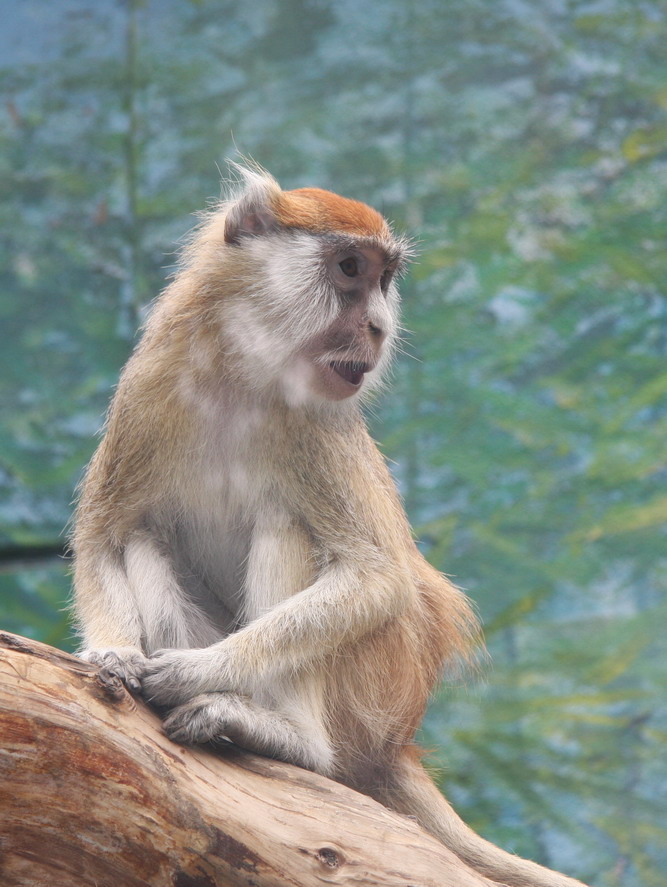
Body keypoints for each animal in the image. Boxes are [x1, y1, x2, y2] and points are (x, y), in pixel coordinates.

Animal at [70, 165, 588, 887]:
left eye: (384, 279)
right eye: (349, 269)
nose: (376, 326)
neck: (239, 372)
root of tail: (396, 739)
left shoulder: (320, 424)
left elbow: (375, 581)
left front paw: (194, 671)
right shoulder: (148, 388)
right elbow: (103, 537)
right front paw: (113, 654)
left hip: (375, 683)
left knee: (288, 527)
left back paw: (288, 738)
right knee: (145, 538)